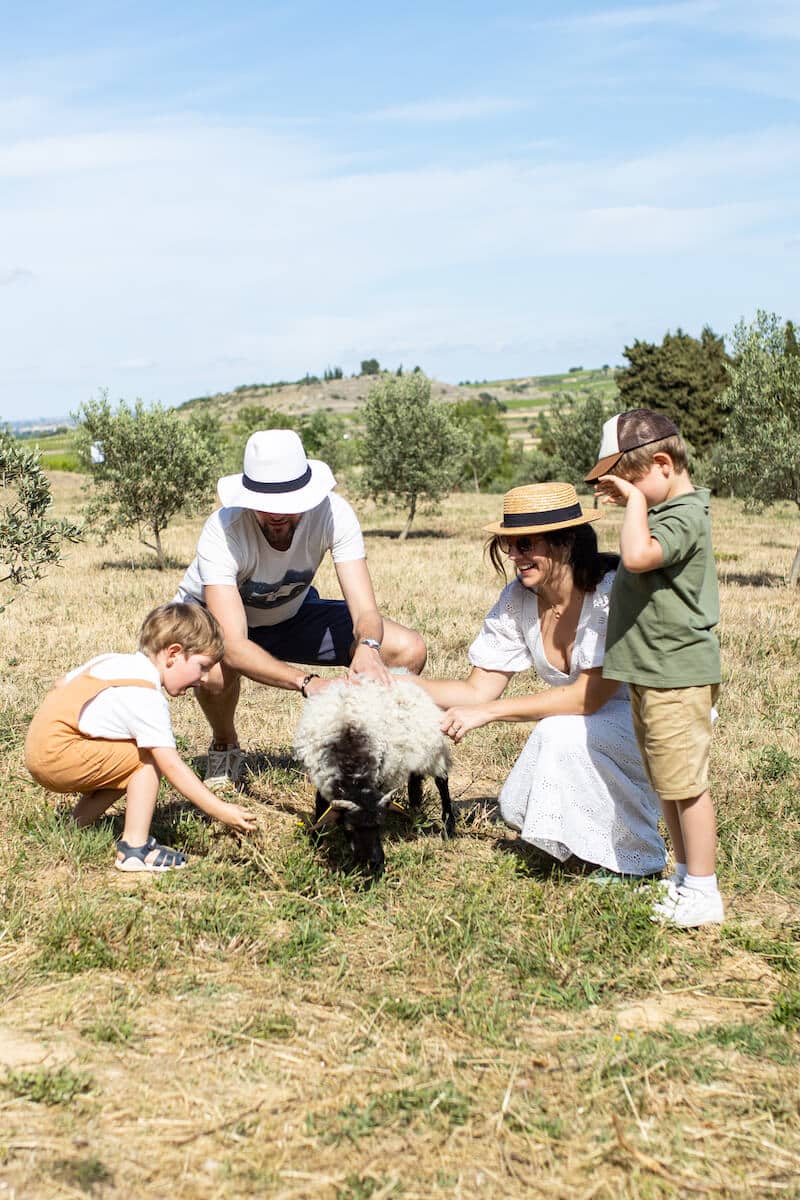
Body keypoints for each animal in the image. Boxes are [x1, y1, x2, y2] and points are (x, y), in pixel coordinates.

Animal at [293, 681, 455, 878]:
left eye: (379, 825)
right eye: (349, 828)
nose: (373, 863)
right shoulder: (324, 781)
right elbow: (320, 809)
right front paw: (315, 842)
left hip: (433, 752)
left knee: (442, 781)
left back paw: (448, 826)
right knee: (415, 778)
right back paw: (415, 809)